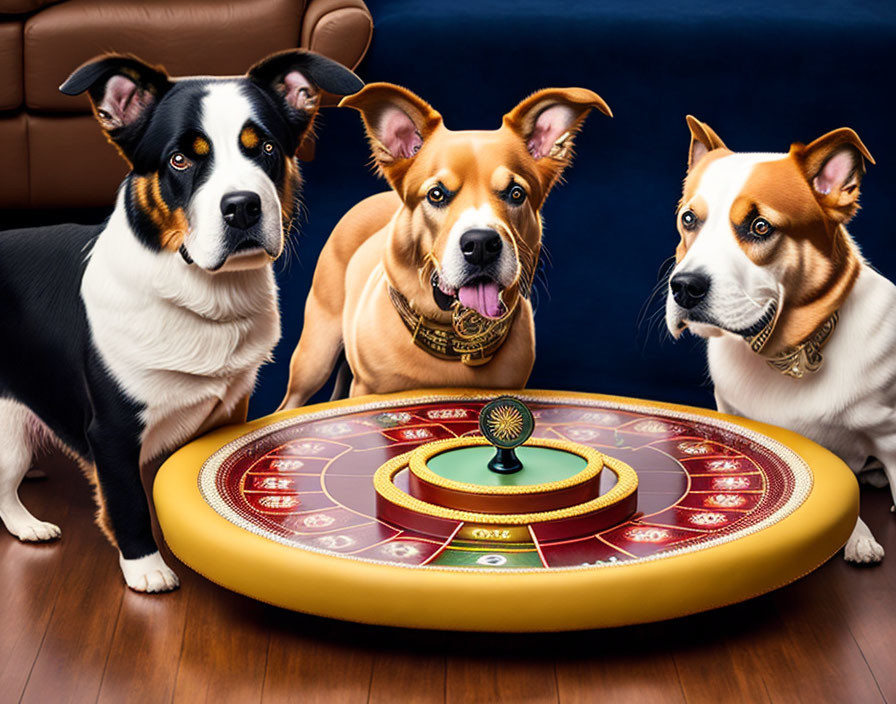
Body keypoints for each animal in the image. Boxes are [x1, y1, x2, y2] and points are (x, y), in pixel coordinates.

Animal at [0, 49, 364, 592]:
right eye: (180, 159)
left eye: (267, 149)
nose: (242, 207)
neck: (203, 295)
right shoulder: (112, 431)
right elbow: (129, 502)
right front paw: (147, 568)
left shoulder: (230, 408)